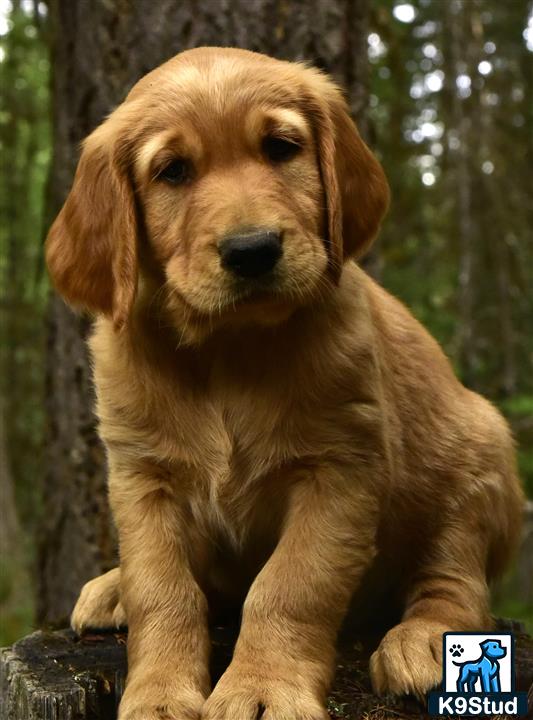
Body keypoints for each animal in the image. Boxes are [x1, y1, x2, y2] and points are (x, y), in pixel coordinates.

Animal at [44, 46, 520, 720]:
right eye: (172, 171)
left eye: (280, 148)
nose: (252, 250)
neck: (228, 348)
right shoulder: (141, 479)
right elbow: (161, 589)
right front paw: (158, 693)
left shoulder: (340, 469)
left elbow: (289, 585)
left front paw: (263, 688)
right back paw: (111, 589)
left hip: (476, 459)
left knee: (453, 575)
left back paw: (426, 640)